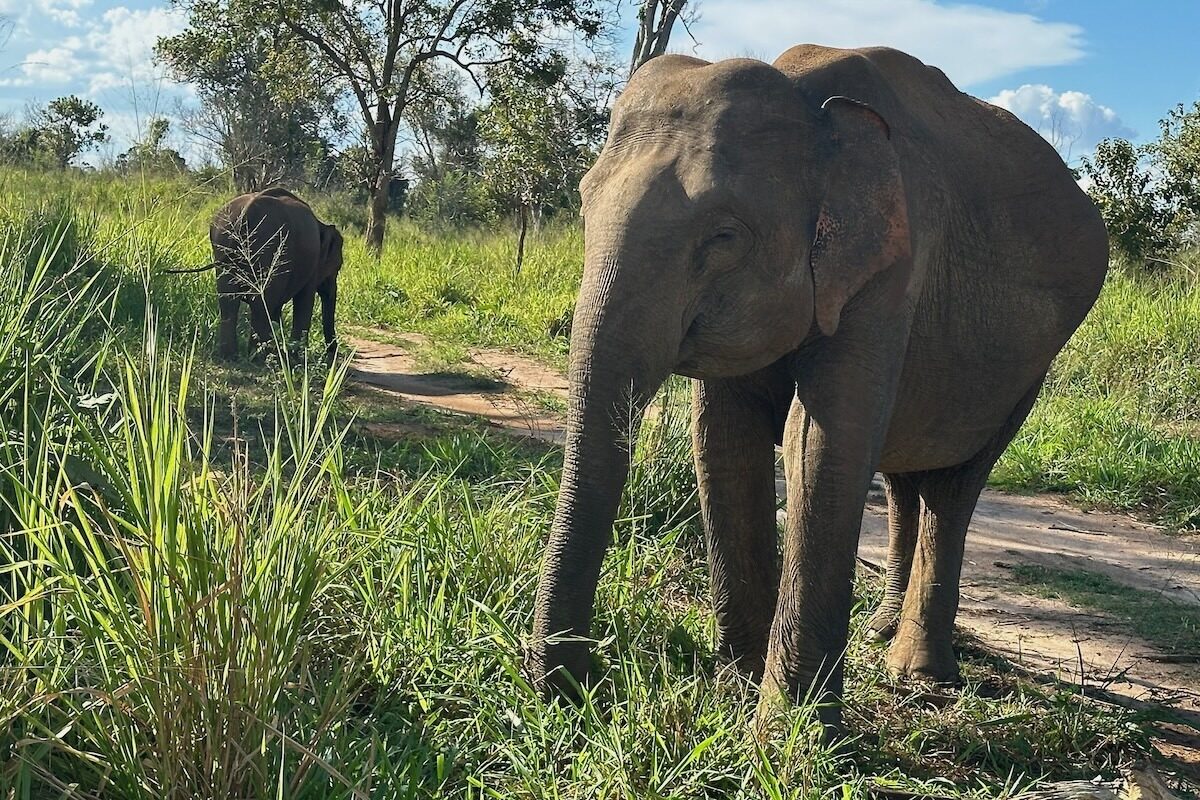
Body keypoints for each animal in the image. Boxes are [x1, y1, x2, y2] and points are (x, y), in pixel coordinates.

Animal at [208, 187, 343, 360]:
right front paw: (296, 359)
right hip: (268, 248)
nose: (334, 355)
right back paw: (259, 358)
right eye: (337, 267)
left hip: (223, 246)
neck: (322, 225)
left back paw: (231, 357)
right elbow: (305, 302)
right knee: (261, 304)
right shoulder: (313, 264)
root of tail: (245, 214)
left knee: (228, 300)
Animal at [528, 45, 1108, 728]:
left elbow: (818, 438)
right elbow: (725, 438)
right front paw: (736, 690)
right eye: (583, 205)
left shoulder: (895, 267)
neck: (806, 101)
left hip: (1028, 367)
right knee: (902, 475)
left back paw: (917, 672)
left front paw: (787, 729)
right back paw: (880, 631)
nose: (592, 684)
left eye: (724, 237)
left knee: (955, 484)